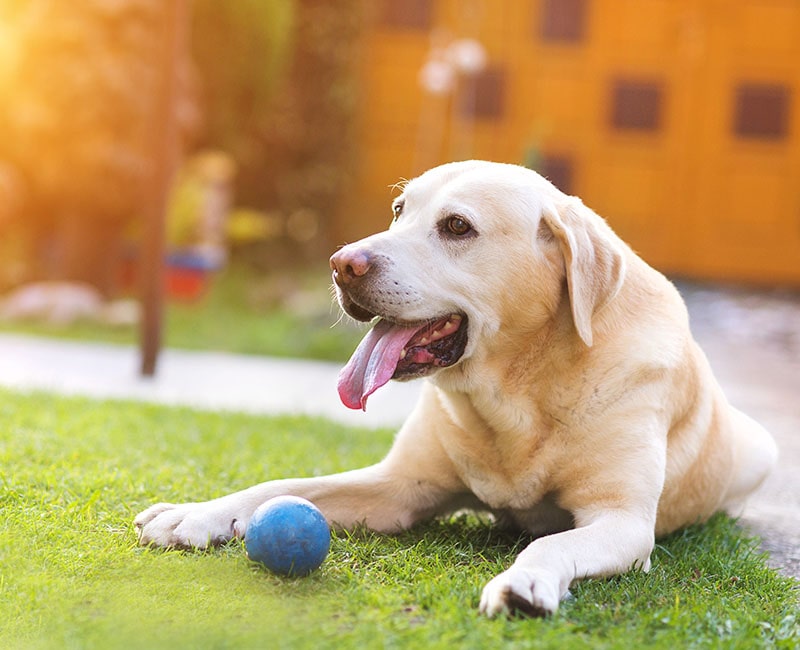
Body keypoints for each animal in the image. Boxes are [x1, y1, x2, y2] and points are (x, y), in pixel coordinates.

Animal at [135, 160, 777, 617]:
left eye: (457, 227)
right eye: (398, 210)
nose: (342, 264)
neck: (517, 392)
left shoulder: (622, 521)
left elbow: (552, 544)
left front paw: (524, 581)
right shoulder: (396, 489)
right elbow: (279, 485)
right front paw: (195, 514)